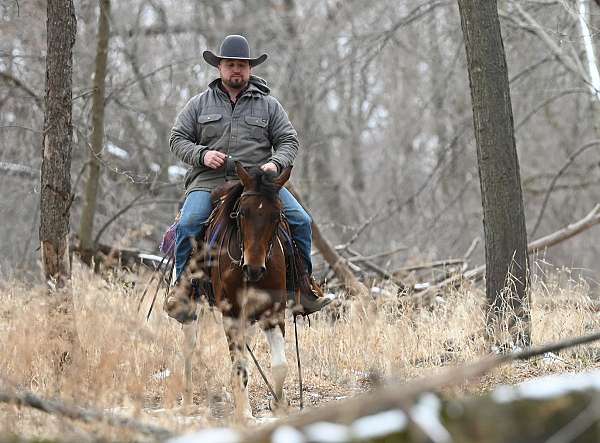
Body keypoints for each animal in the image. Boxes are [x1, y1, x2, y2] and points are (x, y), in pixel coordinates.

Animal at [176, 162, 292, 420]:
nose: (254, 268)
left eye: (277, 216)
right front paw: (245, 414)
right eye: (241, 214)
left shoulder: (273, 311)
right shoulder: (231, 312)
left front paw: (278, 405)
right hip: (194, 305)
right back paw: (187, 403)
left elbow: (280, 365)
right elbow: (239, 368)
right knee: (189, 347)